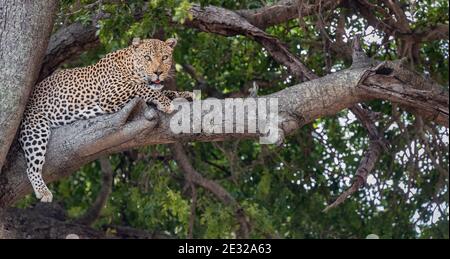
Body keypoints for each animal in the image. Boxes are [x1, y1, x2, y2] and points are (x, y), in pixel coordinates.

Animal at [18, 37, 193, 203]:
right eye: (147, 57)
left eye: (165, 57)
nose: (158, 72)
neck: (130, 65)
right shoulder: (110, 94)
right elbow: (142, 88)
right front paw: (166, 103)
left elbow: (162, 90)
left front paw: (184, 94)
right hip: (35, 128)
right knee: (31, 168)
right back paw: (43, 192)